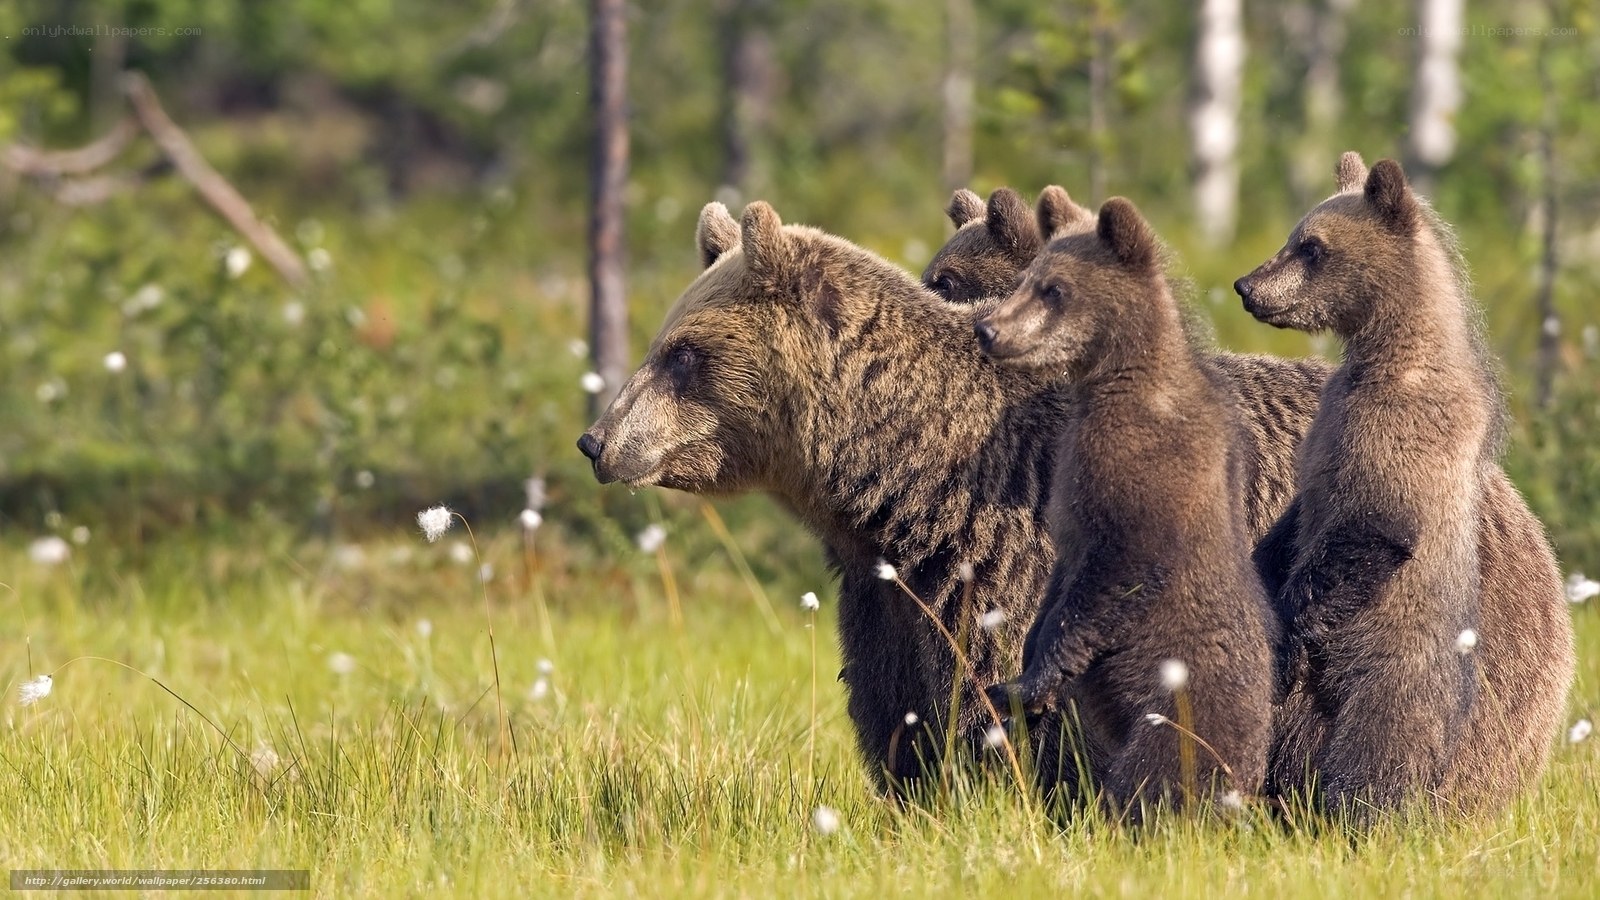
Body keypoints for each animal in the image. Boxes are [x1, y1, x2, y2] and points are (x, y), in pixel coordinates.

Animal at [580, 199, 1076, 792]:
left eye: (682, 354)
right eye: (661, 345)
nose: (596, 441)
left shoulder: (1000, 559)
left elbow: (994, 690)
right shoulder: (884, 603)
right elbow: (895, 710)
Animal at [978, 198, 1276, 818]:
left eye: (1054, 288)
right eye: (1025, 280)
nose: (987, 328)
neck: (1113, 381)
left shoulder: (1142, 471)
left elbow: (1116, 573)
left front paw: (1024, 684)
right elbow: (1061, 579)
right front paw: (1022, 670)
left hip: (1182, 714)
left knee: (1155, 778)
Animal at [1236, 152, 1576, 818]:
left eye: (1311, 246)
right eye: (1295, 236)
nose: (1246, 285)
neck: (1388, 352)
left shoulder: (1399, 434)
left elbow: (1372, 528)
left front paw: (1285, 633)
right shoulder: (1326, 427)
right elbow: (1295, 519)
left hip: (1395, 674)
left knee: (1375, 755)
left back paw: (1358, 811)